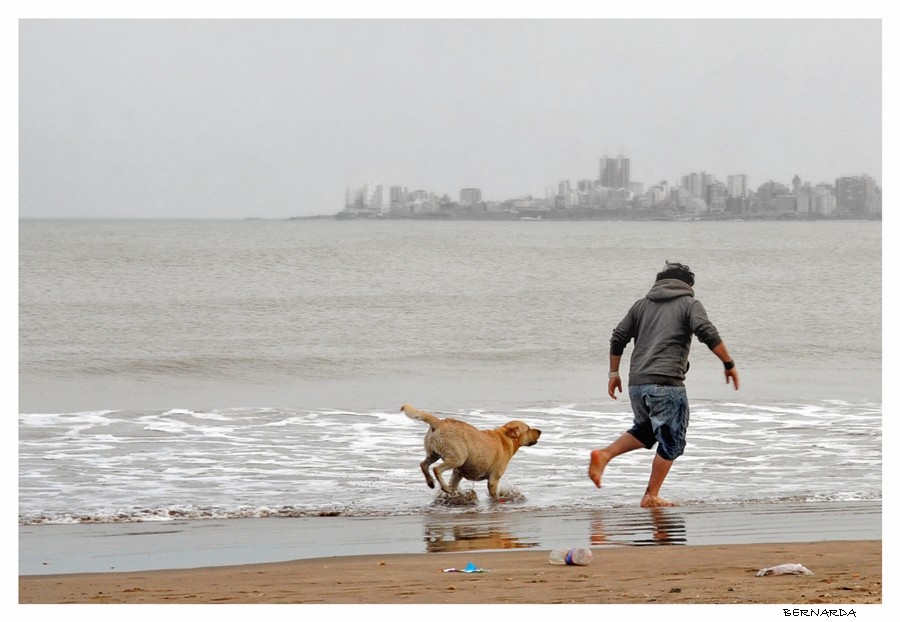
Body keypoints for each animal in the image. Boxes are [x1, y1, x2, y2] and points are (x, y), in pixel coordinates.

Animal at [402, 404, 540, 502]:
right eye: (528, 429)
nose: (540, 431)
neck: (505, 437)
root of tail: (439, 422)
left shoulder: (458, 472)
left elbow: (454, 483)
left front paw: (453, 493)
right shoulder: (494, 478)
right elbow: (494, 494)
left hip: (433, 454)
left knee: (423, 464)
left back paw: (431, 482)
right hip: (458, 457)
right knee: (436, 469)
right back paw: (444, 487)